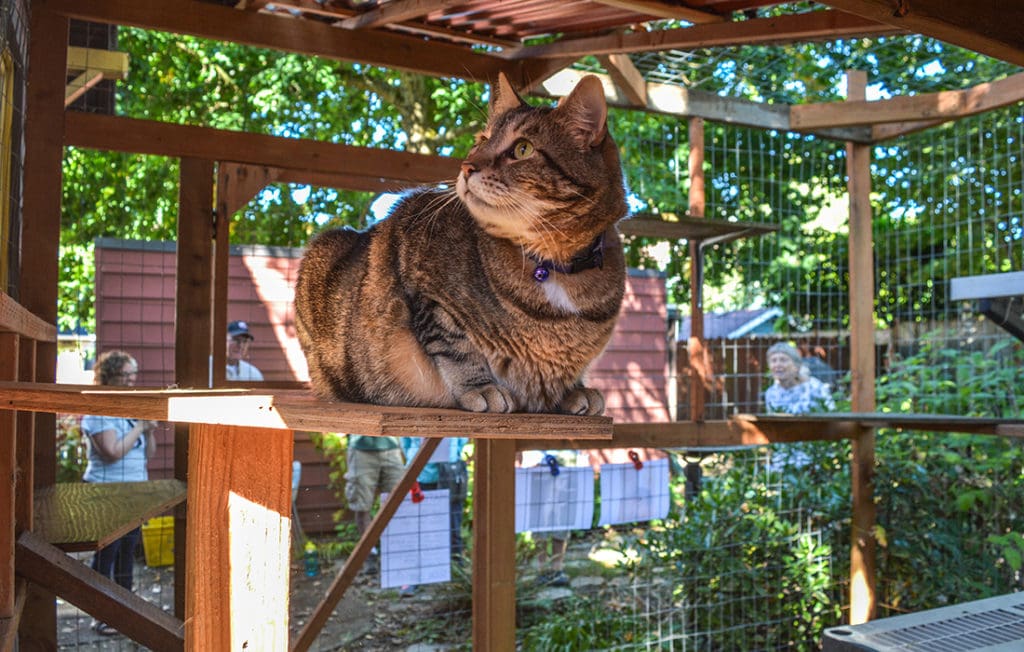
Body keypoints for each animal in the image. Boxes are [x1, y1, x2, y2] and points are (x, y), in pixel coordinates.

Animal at [296, 72, 626, 411]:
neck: (554, 260)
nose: (466, 167)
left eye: (523, 149)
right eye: (481, 141)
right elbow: (456, 347)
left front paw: (573, 389)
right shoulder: (426, 289)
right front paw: (481, 387)